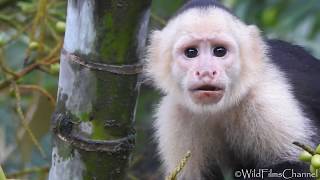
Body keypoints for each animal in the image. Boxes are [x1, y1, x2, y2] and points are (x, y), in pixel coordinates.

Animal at [145, 0, 320, 180]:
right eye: (191, 52)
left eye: (219, 51)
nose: (206, 72)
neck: (218, 109)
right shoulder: (175, 114)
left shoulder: (265, 98)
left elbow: (294, 166)